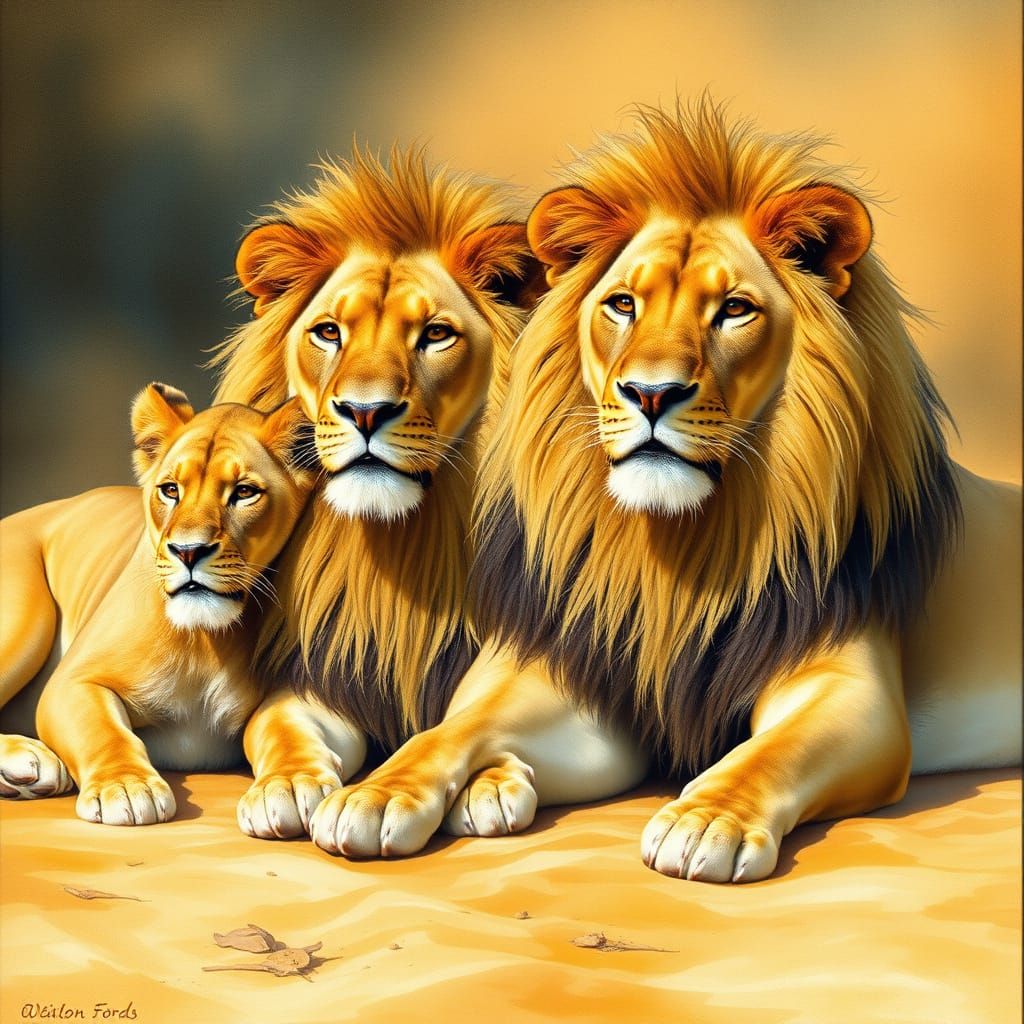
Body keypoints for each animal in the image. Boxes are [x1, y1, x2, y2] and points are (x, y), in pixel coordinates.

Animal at [0, 384, 363, 828]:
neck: (206, 641)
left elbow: (284, 727)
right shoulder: (74, 681)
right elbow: (103, 730)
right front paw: (125, 786)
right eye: (171, 490)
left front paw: (291, 784)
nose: (188, 551)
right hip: (23, 622)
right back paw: (29, 763)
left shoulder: (322, 695)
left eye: (244, 492)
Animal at [210, 148, 548, 842]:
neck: (401, 553)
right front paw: (287, 786)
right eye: (329, 333)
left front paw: (430, 793)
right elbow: (276, 726)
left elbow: (462, 724)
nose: (366, 411)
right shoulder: (319, 676)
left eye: (436, 335)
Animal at [304, 100, 1021, 880]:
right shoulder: (574, 679)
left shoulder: (848, 684)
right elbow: (454, 727)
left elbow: (768, 753)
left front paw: (707, 821)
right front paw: (378, 793)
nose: (651, 394)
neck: (676, 552)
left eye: (734, 310)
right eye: (623, 304)